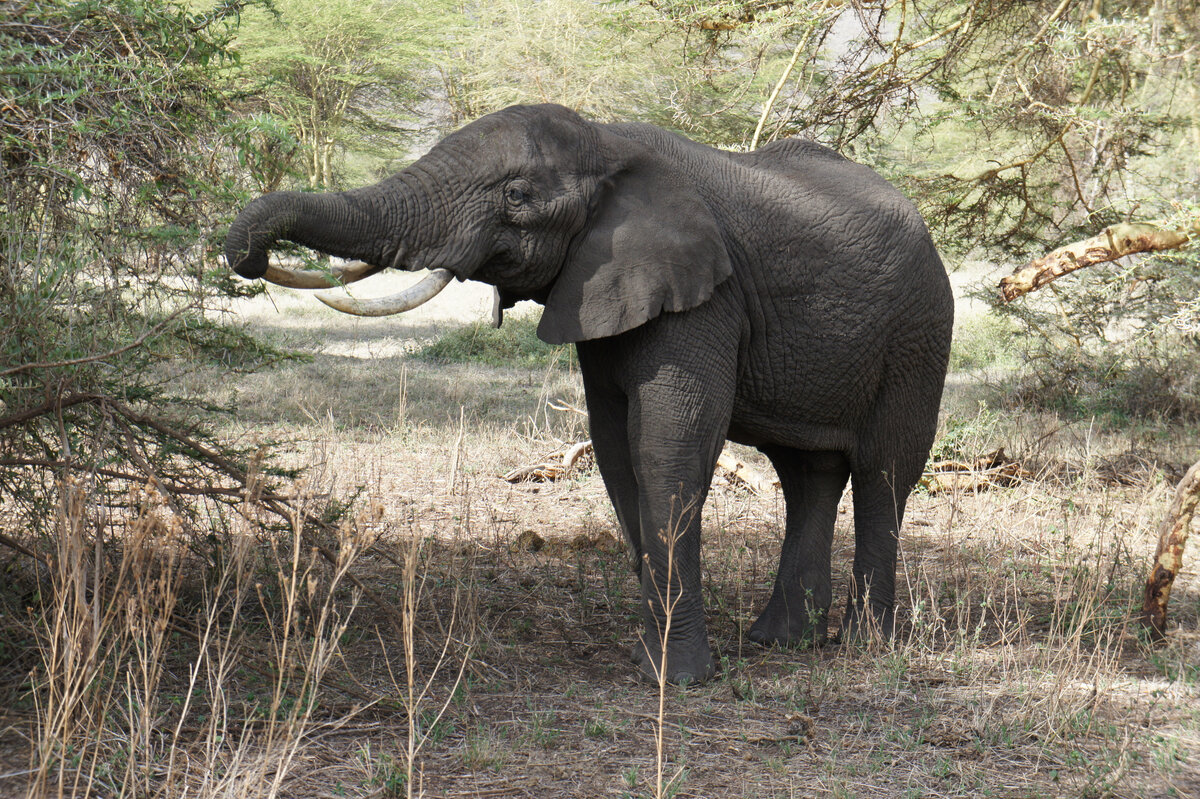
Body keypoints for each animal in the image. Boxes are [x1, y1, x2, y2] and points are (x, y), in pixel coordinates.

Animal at [226, 101, 955, 686]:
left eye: (517, 193)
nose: (248, 257)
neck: (608, 144)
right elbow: (615, 450)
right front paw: (655, 654)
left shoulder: (704, 297)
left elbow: (669, 447)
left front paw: (675, 679)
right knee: (808, 473)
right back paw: (781, 641)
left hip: (919, 331)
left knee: (884, 471)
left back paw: (864, 646)